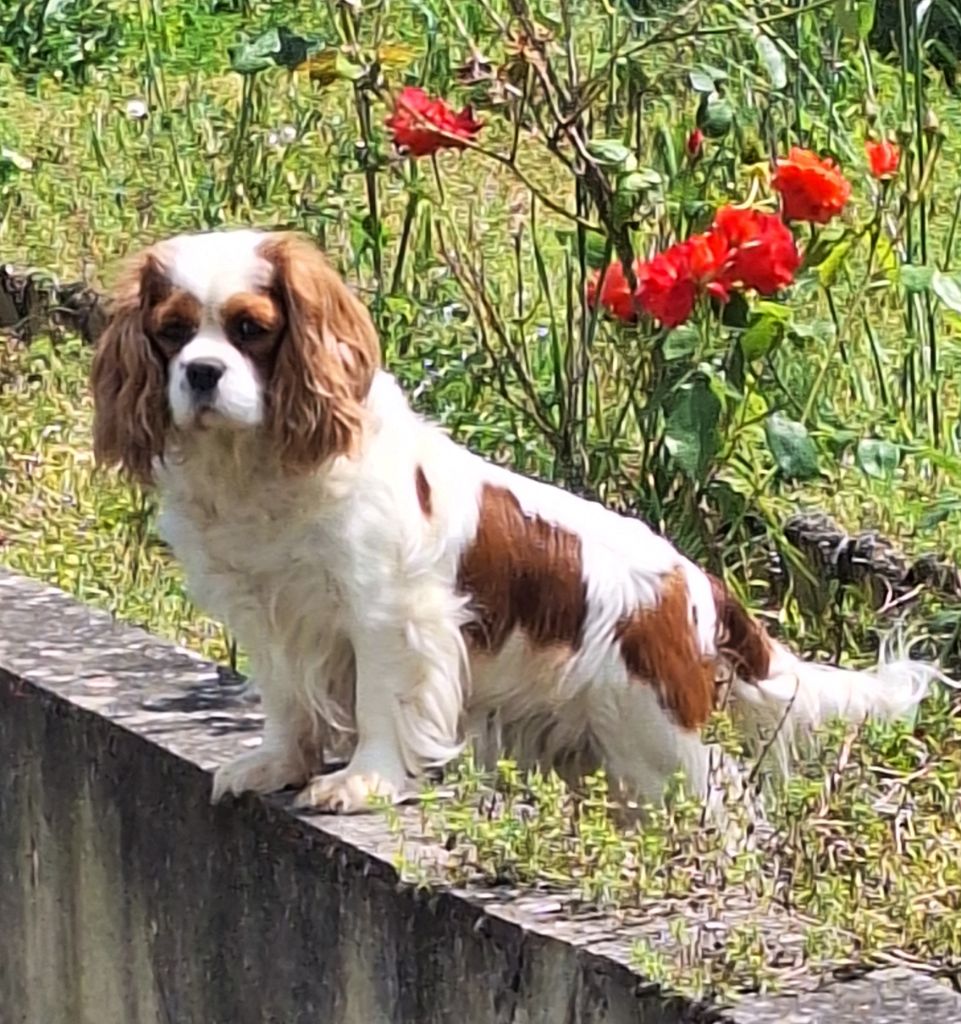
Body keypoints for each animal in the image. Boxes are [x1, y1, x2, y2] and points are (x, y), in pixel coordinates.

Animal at [90, 232, 942, 815]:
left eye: (250, 329)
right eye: (172, 332)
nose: (201, 373)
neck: (257, 462)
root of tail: (696, 586)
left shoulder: (389, 614)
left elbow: (380, 702)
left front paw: (363, 781)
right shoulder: (271, 617)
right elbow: (288, 701)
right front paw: (278, 763)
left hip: (659, 746)